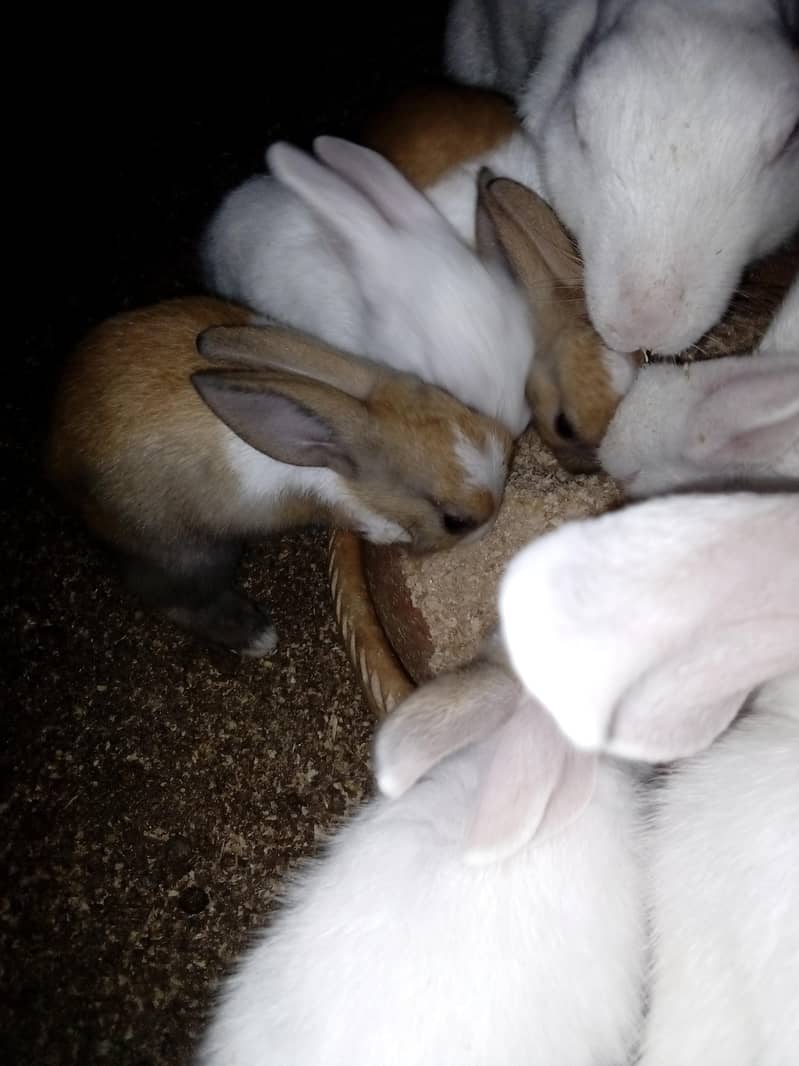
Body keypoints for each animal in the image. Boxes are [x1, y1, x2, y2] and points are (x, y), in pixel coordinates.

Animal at [47, 296, 512, 656]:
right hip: (187, 549)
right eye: (455, 522)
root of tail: (58, 459)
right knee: (166, 595)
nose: (490, 526)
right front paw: (393, 534)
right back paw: (256, 637)